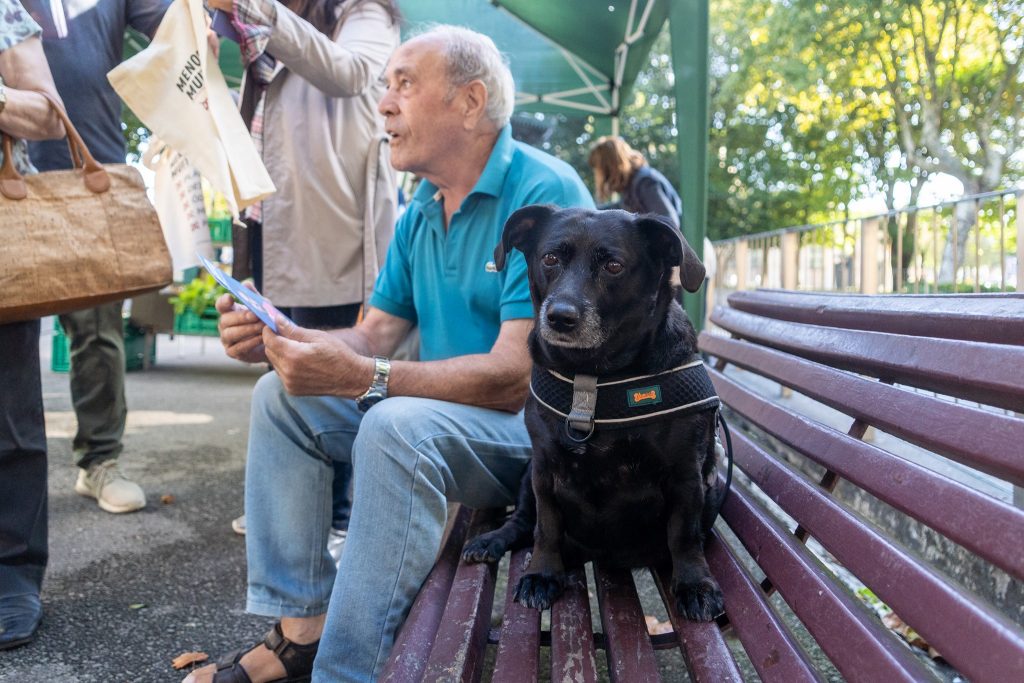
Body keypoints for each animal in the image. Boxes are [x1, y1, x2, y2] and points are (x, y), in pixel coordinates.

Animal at [460, 205, 724, 622]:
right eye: (550, 259)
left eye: (614, 266)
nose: (560, 316)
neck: (594, 378)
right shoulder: (544, 468)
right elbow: (547, 527)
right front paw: (542, 573)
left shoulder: (687, 474)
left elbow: (684, 533)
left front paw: (694, 583)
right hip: (526, 473)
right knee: (523, 521)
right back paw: (493, 540)